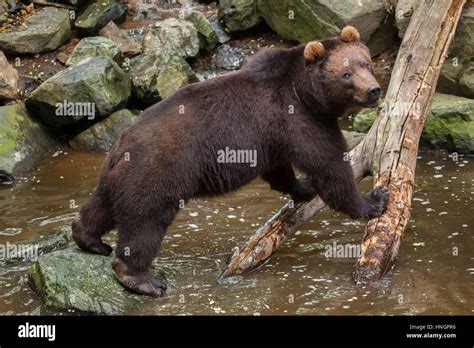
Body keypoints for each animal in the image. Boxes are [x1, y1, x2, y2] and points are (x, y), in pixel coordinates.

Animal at [71, 25, 388, 296]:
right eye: (346, 74)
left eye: (366, 64)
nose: (374, 90)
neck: (307, 93)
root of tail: (121, 145)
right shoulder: (299, 118)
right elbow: (329, 166)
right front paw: (373, 200)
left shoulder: (274, 136)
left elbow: (281, 170)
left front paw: (303, 186)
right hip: (156, 173)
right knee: (145, 222)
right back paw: (142, 278)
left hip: (116, 174)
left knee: (101, 206)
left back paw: (89, 239)